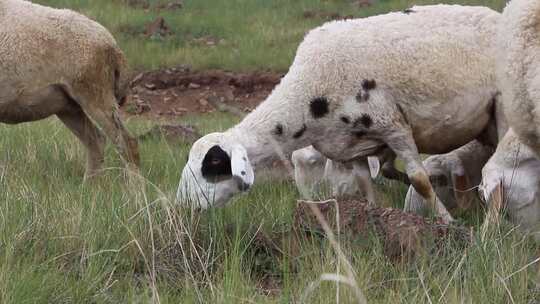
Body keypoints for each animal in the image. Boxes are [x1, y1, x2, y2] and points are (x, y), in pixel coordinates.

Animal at [0, 0, 139, 178]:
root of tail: (114, 47)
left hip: (95, 96)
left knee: (127, 143)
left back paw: (135, 186)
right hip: (67, 106)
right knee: (96, 141)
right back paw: (89, 184)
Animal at [178, 3, 502, 222]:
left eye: (213, 164)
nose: (185, 207)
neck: (309, 97)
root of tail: (494, 14)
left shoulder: (392, 124)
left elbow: (420, 180)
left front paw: (448, 223)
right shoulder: (353, 145)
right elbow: (366, 184)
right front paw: (373, 218)